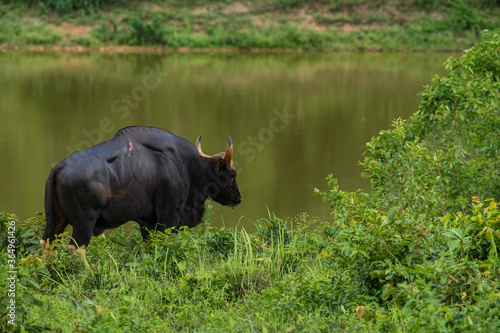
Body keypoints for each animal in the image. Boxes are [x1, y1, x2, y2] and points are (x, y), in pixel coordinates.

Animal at [41, 126, 240, 255]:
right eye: (232, 174)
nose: (238, 198)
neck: (186, 166)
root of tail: (59, 168)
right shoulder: (169, 217)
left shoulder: (146, 222)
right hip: (84, 222)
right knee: (76, 248)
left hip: (55, 219)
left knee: (47, 243)